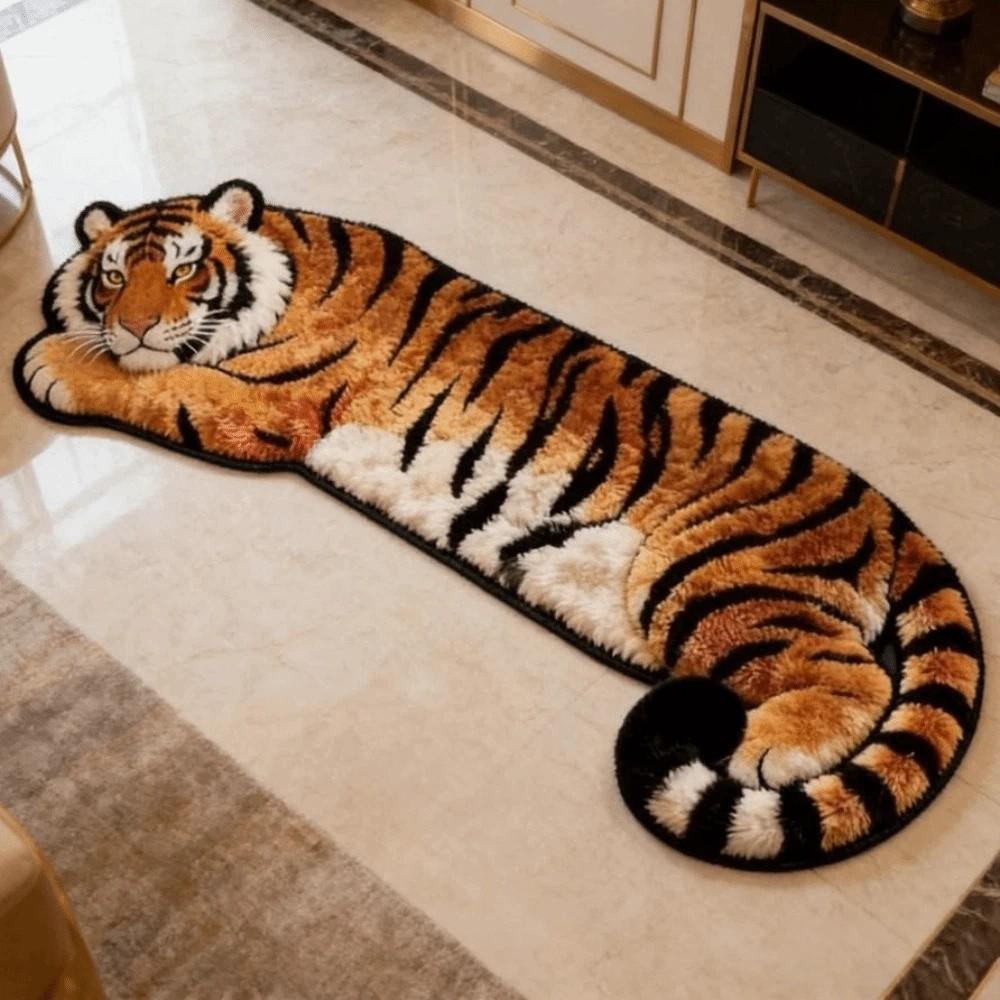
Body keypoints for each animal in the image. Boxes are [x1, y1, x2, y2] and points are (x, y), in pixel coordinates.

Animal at [14, 179, 983, 870]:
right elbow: (152, 374)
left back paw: (765, 750)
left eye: (183, 270)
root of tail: (896, 521)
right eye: (112, 274)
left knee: (852, 675)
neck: (288, 264)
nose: (136, 324)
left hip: (711, 573)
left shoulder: (265, 409)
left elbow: (157, 383)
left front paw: (53, 360)